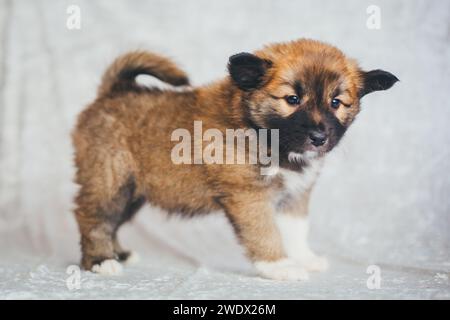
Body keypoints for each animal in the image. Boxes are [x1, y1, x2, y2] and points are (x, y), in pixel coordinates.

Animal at [72, 39, 400, 280]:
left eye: (336, 102)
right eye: (292, 99)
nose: (319, 137)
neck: (263, 133)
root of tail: (112, 92)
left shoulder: (295, 196)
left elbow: (296, 231)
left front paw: (303, 258)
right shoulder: (249, 197)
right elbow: (265, 232)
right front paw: (279, 266)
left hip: (133, 192)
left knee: (113, 220)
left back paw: (119, 253)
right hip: (110, 180)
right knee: (94, 217)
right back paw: (101, 260)